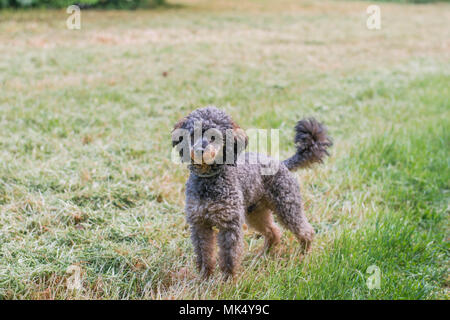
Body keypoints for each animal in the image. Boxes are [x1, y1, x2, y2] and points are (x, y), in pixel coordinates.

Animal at [171, 106, 330, 278]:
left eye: (214, 136)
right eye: (193, 134)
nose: (200, 150)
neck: (208, 180)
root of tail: (281, 163)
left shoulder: (229, 225)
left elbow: (229, 256)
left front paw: (227, 280)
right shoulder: (199, 224)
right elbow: (204, 254)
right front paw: (204, 278)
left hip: (287, 206)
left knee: (306, 231)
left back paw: (303, 255)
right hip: (255, 213)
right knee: (274, 232)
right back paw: (263, 255)